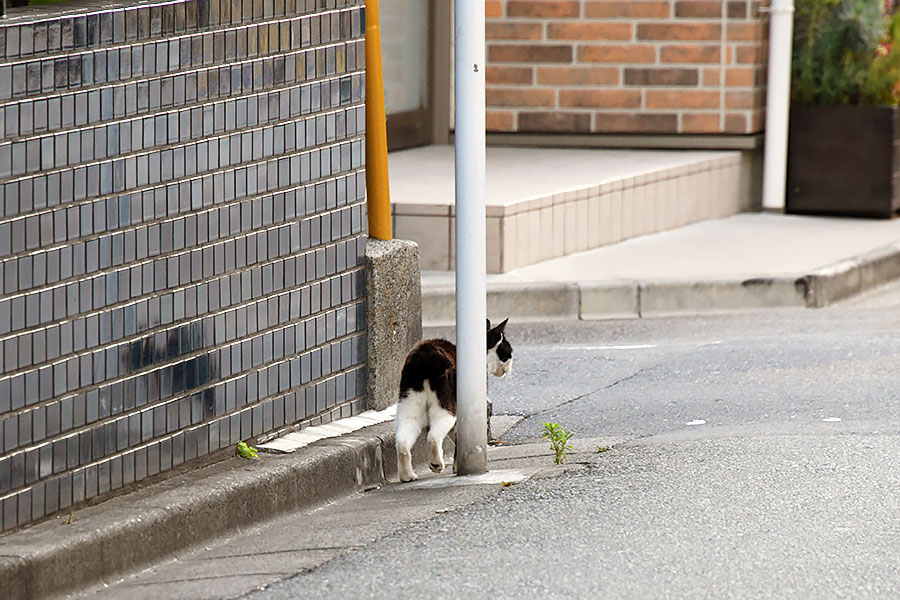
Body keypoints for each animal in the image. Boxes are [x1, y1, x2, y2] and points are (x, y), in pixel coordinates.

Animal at [396, 318, 512, 482]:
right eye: (508, 352)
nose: (511, 363)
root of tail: (426, 354)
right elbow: (458, 443)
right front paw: (458, 467)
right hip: (446, 407)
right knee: (433, 437)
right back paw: (436, 464)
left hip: (409, 405)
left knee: (402, 441)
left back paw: (407, 475)